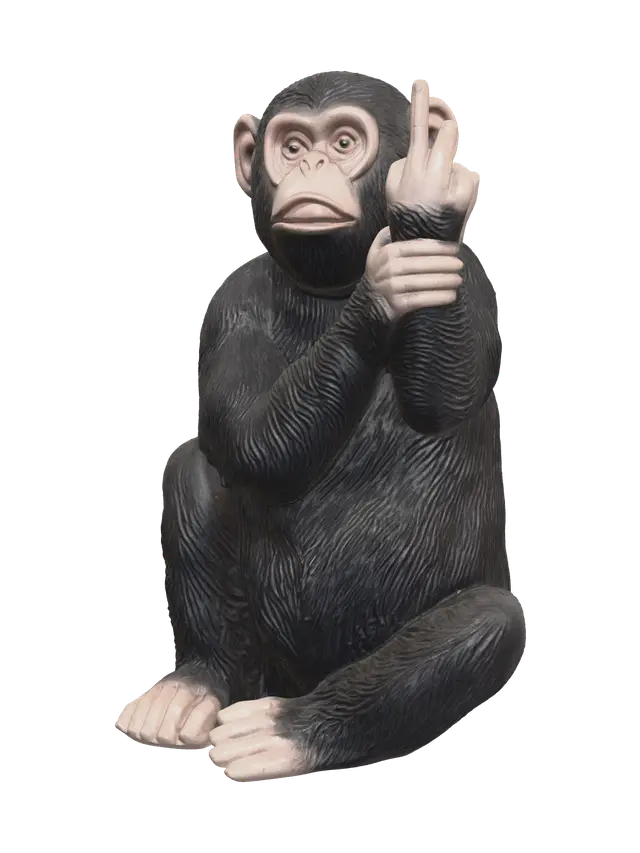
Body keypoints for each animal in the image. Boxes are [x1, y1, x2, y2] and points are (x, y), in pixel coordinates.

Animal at [115, 71, 525, 781]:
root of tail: (300, 680)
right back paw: (192, 685)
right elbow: (251, 440)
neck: (333, 288)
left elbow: (441, 399)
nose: (312, 166)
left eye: (343, 142)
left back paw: (283, 730)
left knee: (485, 626)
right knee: (193, 468)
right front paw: (385, 284)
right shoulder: (232, 301)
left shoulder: (471, 282)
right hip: (261, 652)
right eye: (293, 145)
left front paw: (425, 200)